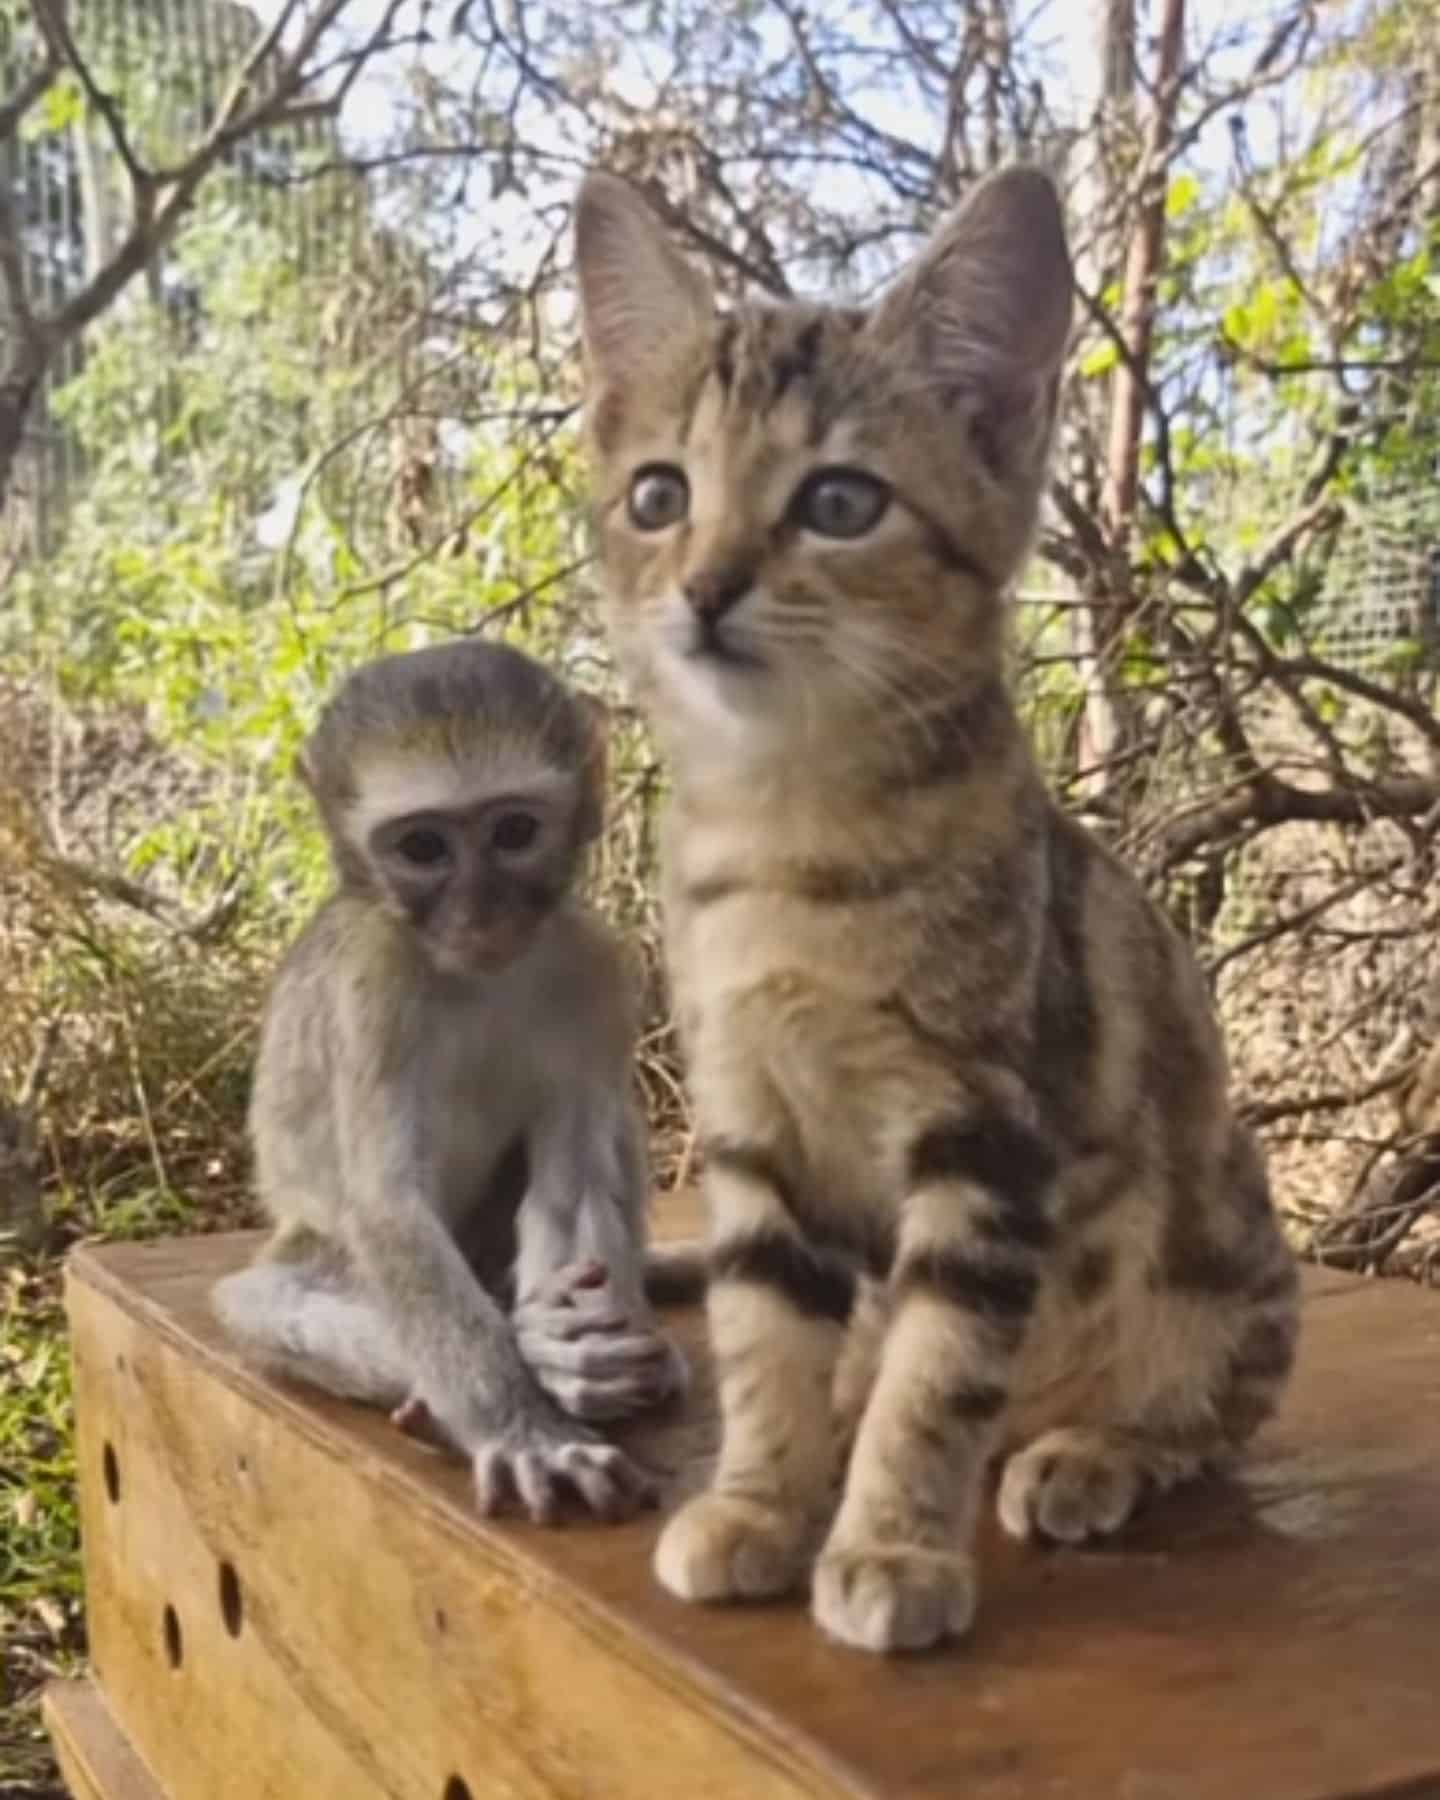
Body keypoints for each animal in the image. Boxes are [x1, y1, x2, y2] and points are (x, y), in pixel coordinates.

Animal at [209, 637, 698, 1519]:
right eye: (424, 848)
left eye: (514, 831)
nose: (480, 912)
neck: (476, 977)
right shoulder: (370, 983)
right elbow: (387, 1208)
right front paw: (525, 1424)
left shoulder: (594, 967)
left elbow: (572, 1181)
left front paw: (575, 1364)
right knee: (266, 1298)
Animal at [576, 162, 1303, 1648]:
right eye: (660, 494)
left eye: (841, 503)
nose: (706, 586)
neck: (789, 838)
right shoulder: (752, 1126)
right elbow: (762, 1339)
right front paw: (759, 1501)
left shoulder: (987, 1137)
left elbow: (942, 1370)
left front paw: (893, 1546)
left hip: (1221, 1254)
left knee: (1204, 1411)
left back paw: (1090, 1452)